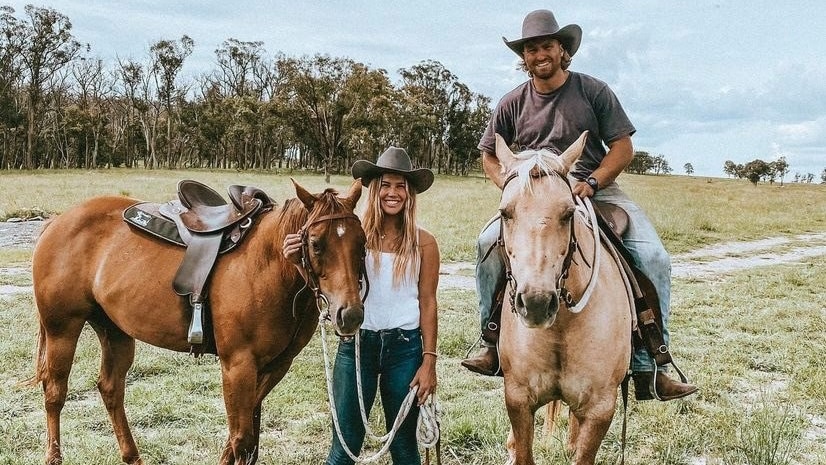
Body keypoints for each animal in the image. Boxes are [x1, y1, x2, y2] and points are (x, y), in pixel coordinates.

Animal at [29, 179, 364, 462]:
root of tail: (57, 221)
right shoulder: (237, 365)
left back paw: (132, 456)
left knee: (111, 389)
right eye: (316, 243)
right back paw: (54, 456)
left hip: (114, 330)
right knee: (55, 393)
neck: (269, 264)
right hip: (62, 329)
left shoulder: (275, 366)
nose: (349, 314)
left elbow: (245, 439)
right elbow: (241, 438)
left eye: (361, 244)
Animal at [490, 132, 632, 462]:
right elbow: (523, 452)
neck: (561, 326)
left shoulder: (600, 408)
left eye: (568, 213)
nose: (536, 304)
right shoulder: (517, 397)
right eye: (505, 213)